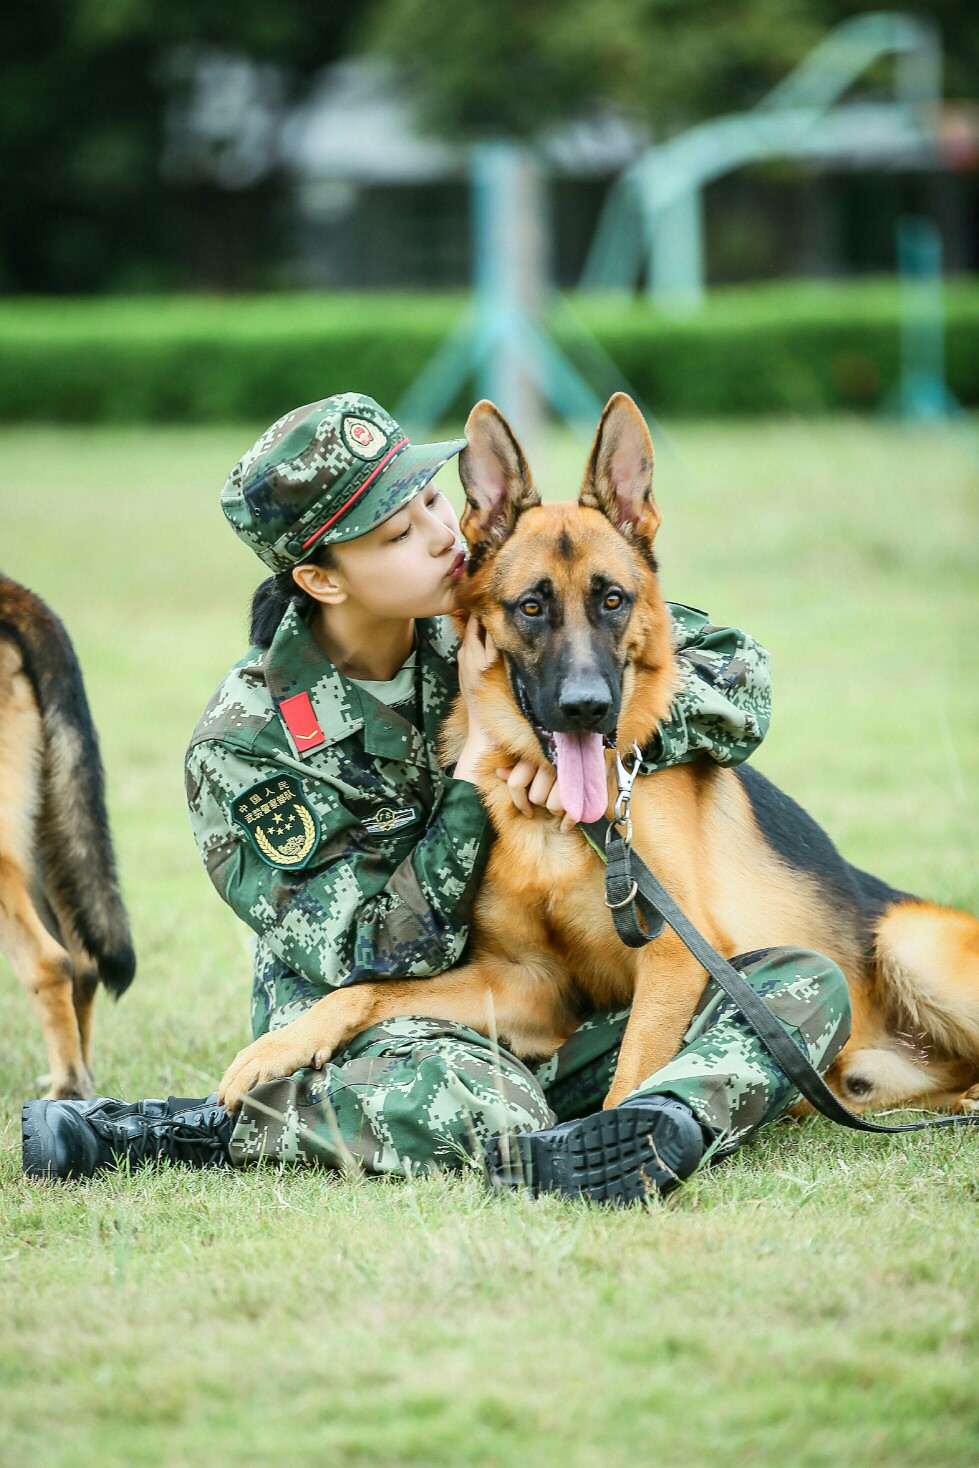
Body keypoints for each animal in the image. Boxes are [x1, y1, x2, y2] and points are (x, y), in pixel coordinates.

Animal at [220, 396, 979, 1115]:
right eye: (530, 607)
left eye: (612, 600)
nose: (586, 707)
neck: (560, 826)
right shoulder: (528, 984)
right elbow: (368, 992)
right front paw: (278, 1046)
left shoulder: (673, 959)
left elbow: (631, 1080)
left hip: (905, 941)